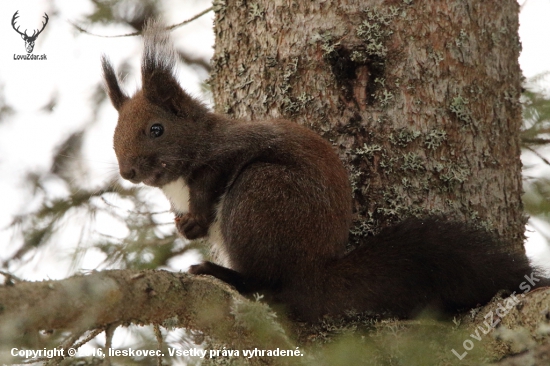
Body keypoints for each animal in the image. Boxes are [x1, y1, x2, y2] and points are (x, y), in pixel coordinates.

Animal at [101, 21, 548, 322]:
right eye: (114, 133)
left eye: (156, 129)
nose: (128, 172)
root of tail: (313, 273)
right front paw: (183, 225)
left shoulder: (229, 150)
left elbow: (214, 180)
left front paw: (193, 220)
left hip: (260, 197)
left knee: (270, 284)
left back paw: (222, 274)